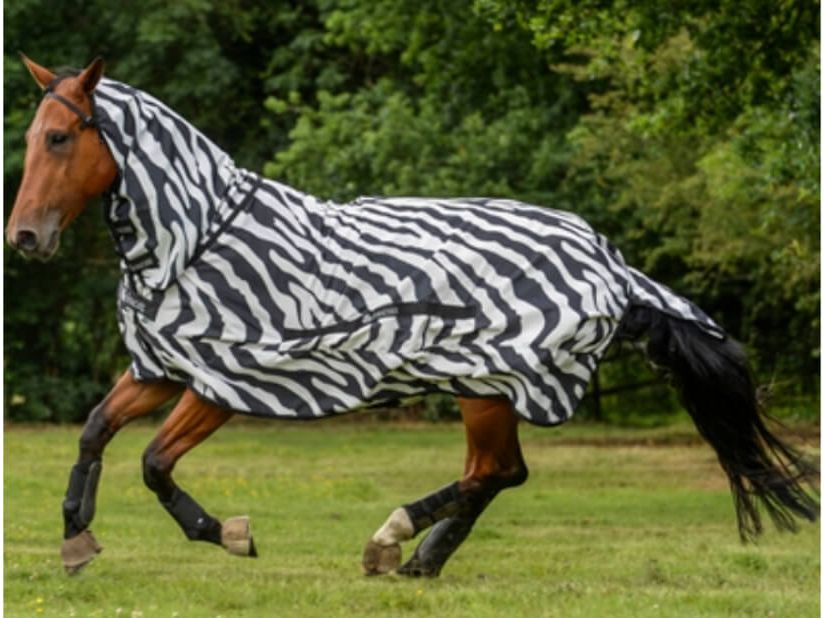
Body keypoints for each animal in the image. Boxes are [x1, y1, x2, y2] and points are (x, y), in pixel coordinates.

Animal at [7, 55, 818, 577]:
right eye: (31, 137)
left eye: (59, 137)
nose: (25, 238)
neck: (199, 237)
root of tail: (608, 260)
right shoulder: (160, 366)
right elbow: (95, 430)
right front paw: (77, 539)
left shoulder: (221, 379)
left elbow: (152, 461)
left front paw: (226, 533)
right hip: (486, 392)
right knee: (497, 473)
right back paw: (418, 560)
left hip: (487, 385)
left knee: (496, 471)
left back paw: (394, 538)